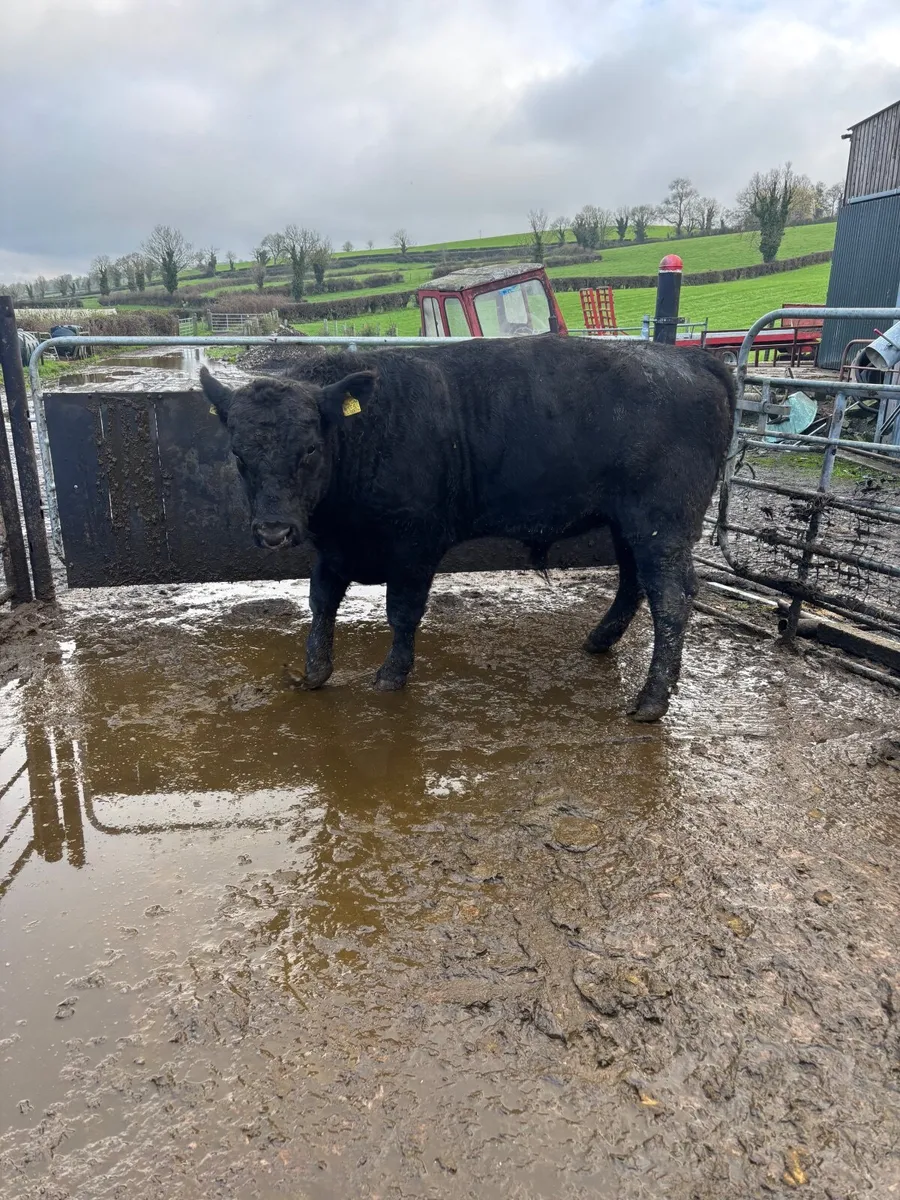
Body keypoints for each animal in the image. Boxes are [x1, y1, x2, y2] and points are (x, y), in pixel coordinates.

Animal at [199, 336, 735, 721]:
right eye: (238, 454)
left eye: (309, 448)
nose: (273, 531)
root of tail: (691, 360)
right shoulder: (333, 549)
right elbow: (322, 604)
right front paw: (314, 673)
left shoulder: (415, 546)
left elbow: (402, 612)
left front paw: (391, 675)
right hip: (628, 525)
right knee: (633, 583)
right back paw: (598, 641)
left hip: (661, 524)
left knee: (671, 597)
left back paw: (652, 700)